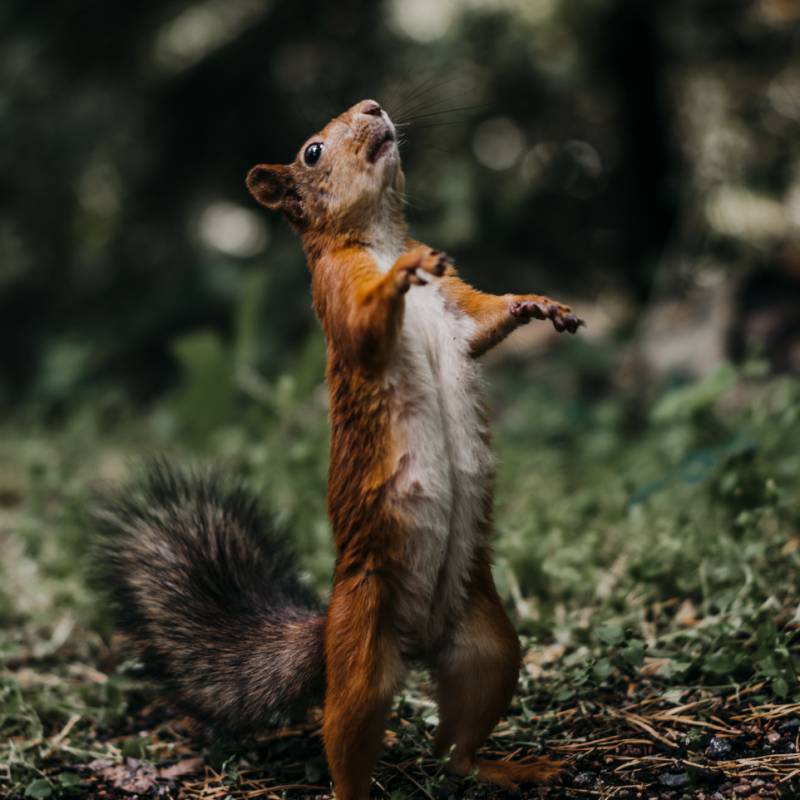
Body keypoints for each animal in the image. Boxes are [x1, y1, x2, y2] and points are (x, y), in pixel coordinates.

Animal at [94, 99, 583, 800]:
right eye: (312, 152)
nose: (373, 106)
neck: (376, 237)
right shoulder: (335, 290)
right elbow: (362, 327)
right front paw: (402, 276)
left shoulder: (458, 307)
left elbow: (485, 322)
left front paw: (537, 304)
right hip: (360, 654)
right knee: (348, 737)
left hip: (490, 647)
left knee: (455, 748)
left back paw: (505, 767)